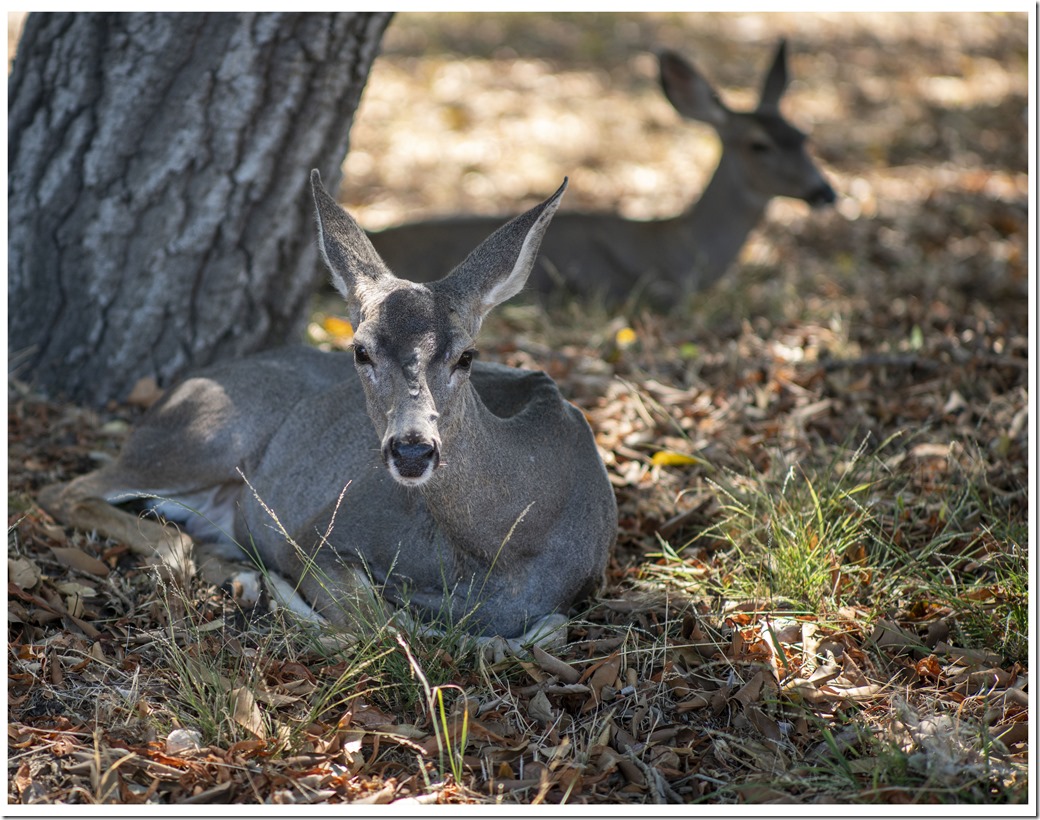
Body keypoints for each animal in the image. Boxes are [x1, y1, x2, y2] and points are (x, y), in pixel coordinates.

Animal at [38, 171, 618, 650]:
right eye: (360, 351)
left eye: (467, 355)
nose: (412, 451)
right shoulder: (318, 535)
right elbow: (380, 624)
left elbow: (547, 628)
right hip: (206, 436)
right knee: (72, 493)